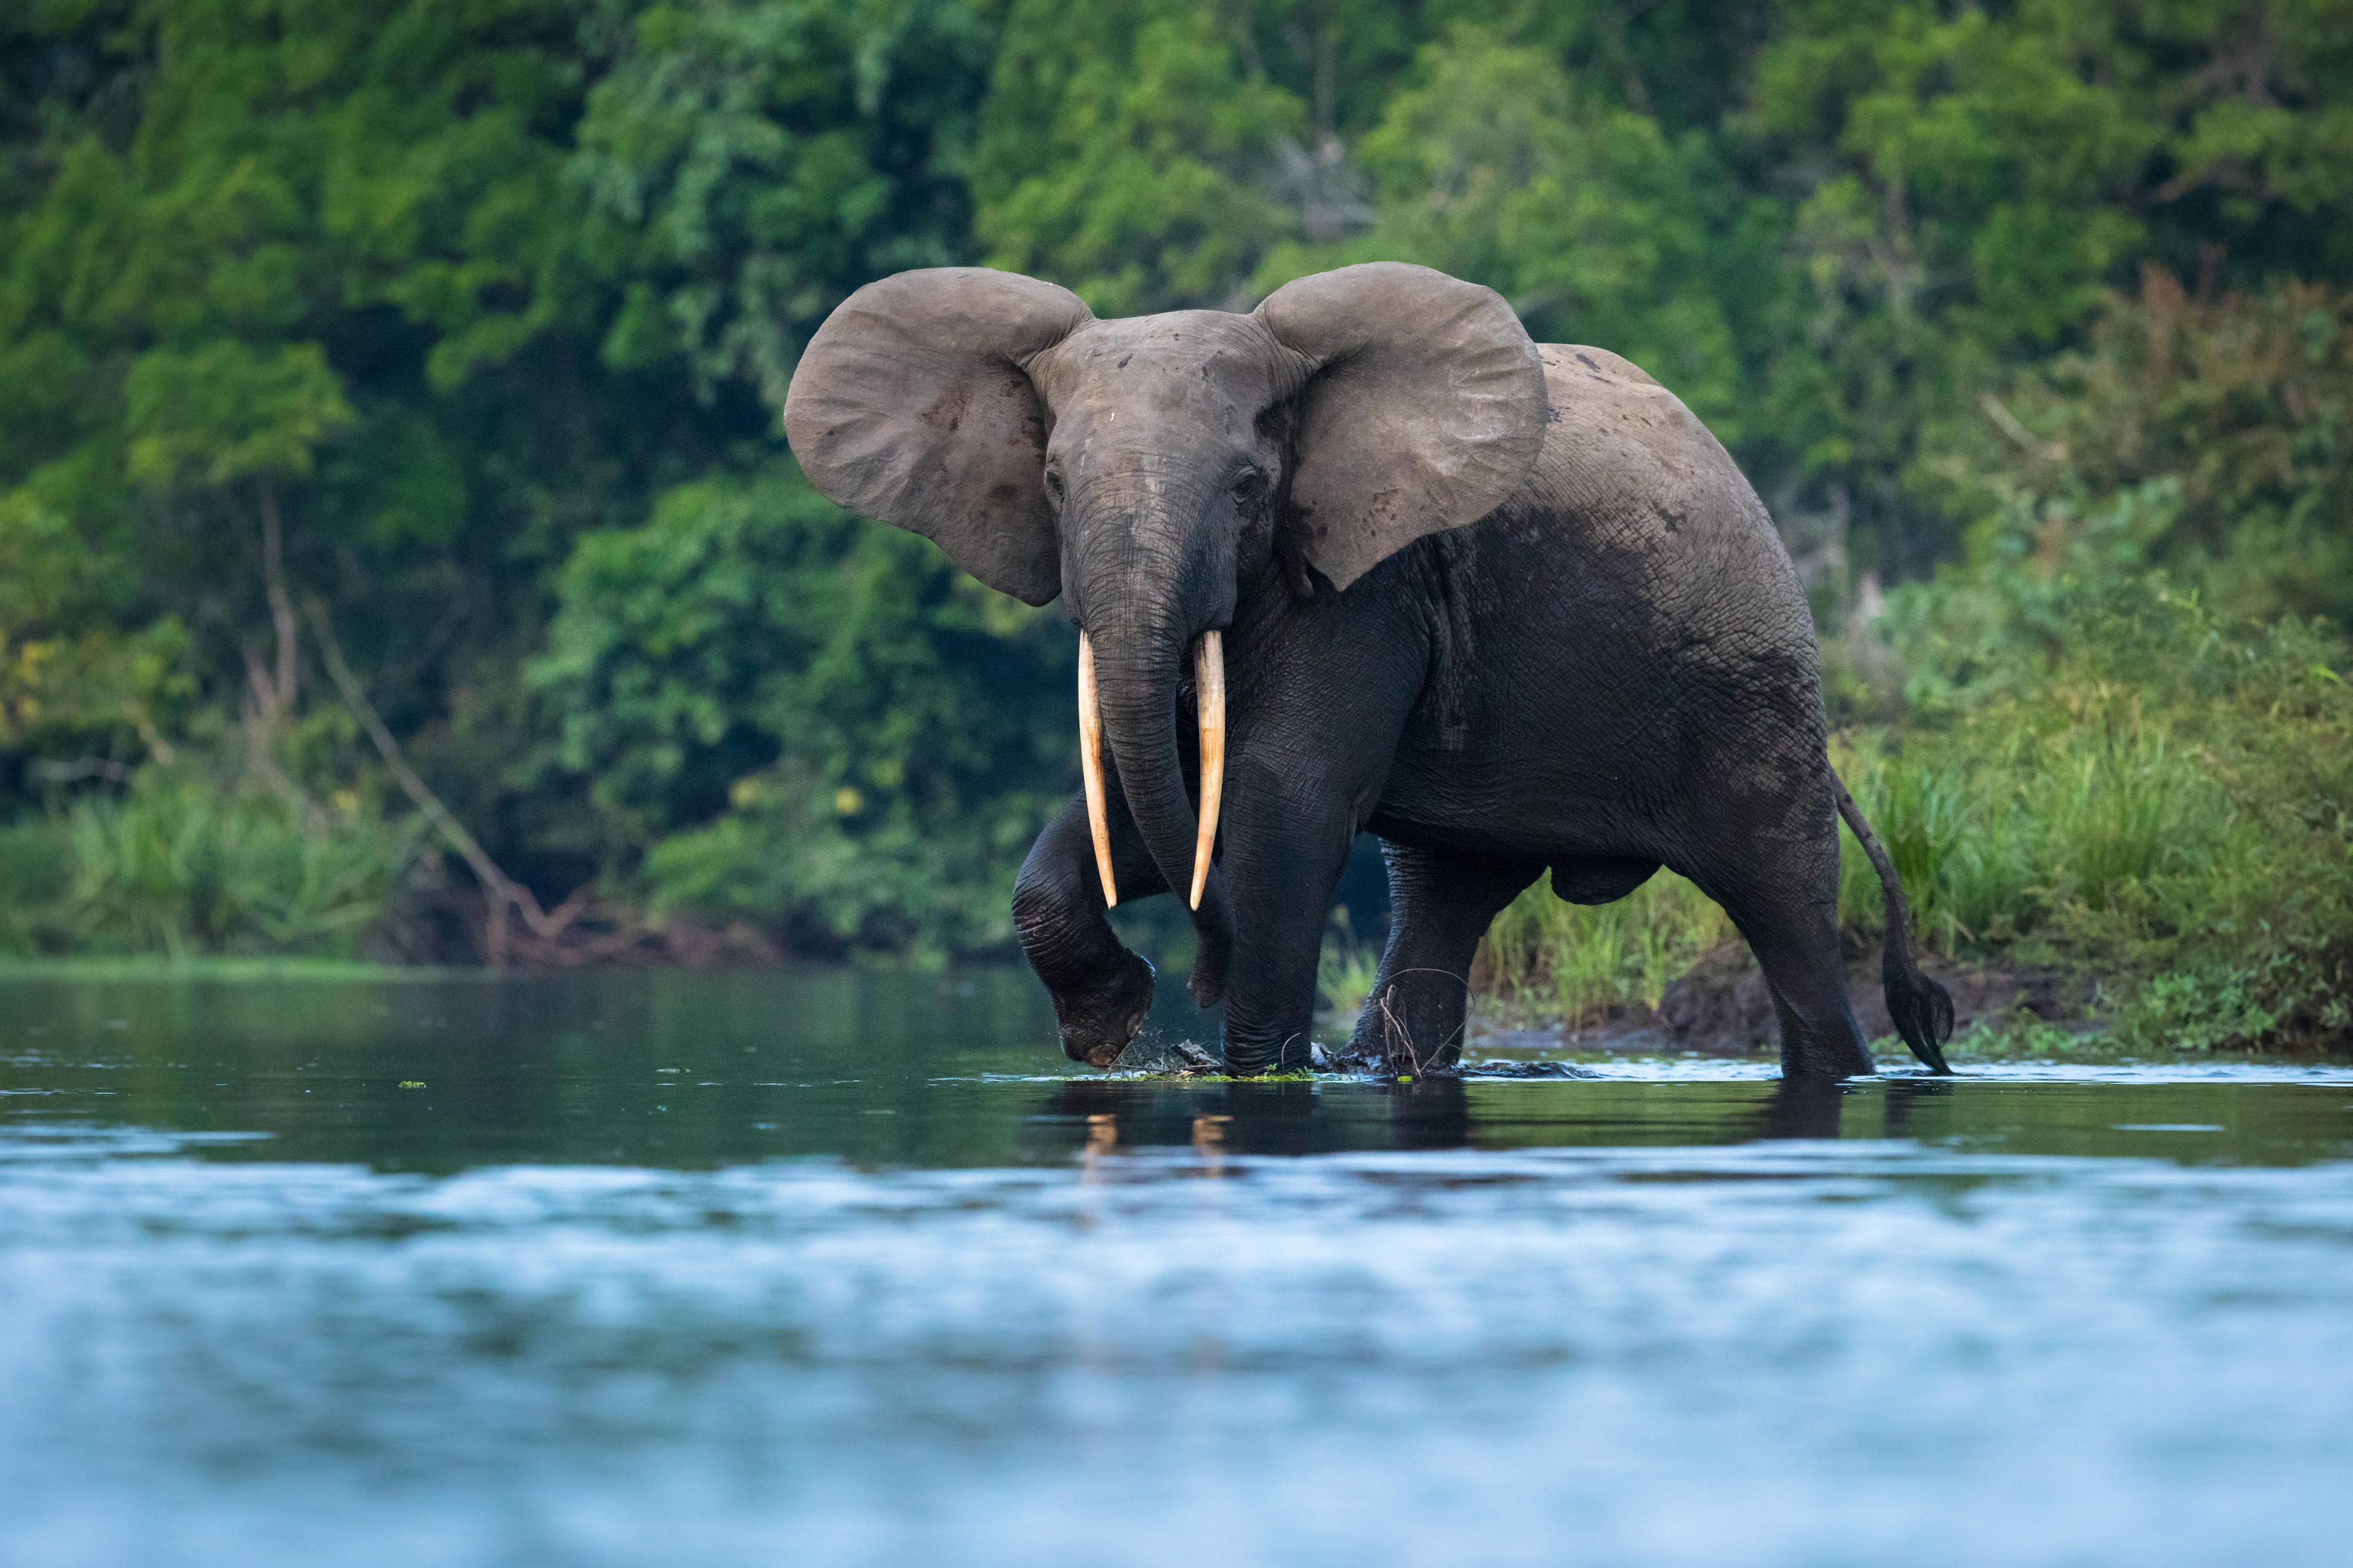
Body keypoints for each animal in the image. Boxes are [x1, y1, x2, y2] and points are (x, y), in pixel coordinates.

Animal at [781, 262, 1958, 1083]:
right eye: (1058, 484)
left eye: (1249, 487)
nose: (1188, 979)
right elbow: (1148, 801)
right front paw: (1112, 1030)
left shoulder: (1369, 583)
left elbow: (1274, 802)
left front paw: (1249, 1070)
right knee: (1444, 898)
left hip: (1751, 686)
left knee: (1785, 908)